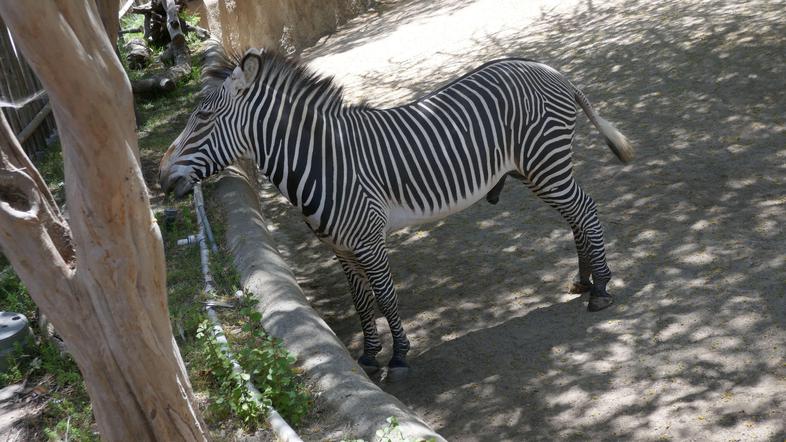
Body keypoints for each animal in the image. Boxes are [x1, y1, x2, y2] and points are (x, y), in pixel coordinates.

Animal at [160, 46, 634, 378]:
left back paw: (600, 289)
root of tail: (549, 69)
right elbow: (361, 303)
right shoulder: (340, 248)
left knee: (586, 210)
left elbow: (385, 297)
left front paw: (400, 356)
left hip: (545, 164)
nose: (162, 178)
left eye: (204, 118)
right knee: (574, 216)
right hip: (535, 170)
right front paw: (370, 356)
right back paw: (584, 279)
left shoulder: (368, 240)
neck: (324, 161)